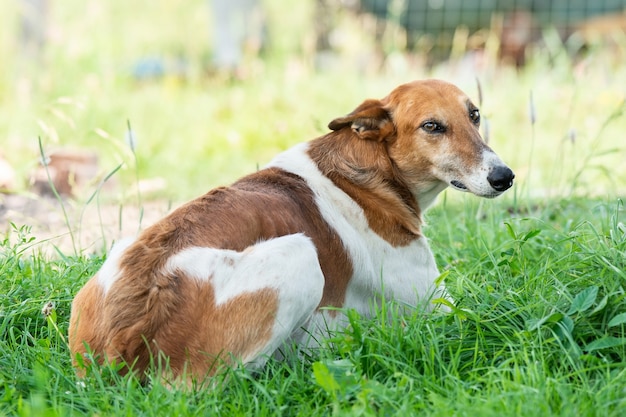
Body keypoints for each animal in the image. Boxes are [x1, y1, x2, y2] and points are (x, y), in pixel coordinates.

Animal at [70, 78, 516, 384]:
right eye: (432, 126)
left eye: (474, 115)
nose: (505, 177)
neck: (370, 171)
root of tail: (117, 345)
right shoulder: (440, 310)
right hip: (300, 255)